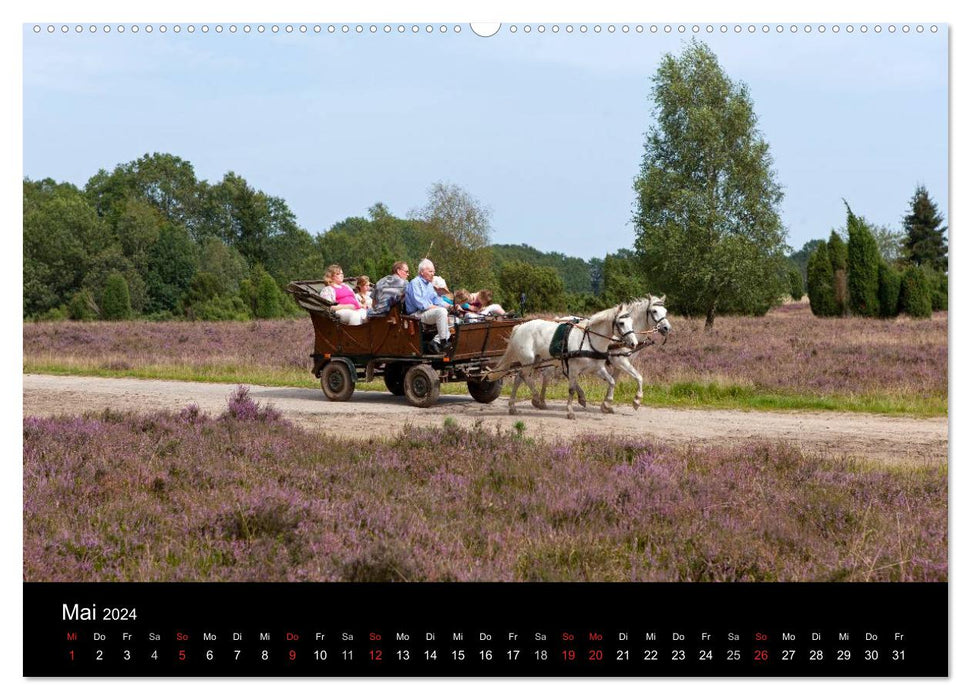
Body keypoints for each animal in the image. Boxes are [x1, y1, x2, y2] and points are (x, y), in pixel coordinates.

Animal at [486, 304, 636, 418]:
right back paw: (536, 399)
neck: (589, 341)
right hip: (528, 360)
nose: (633, 343)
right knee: (524, 377)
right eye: (621, 323)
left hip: (535, 360)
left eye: (632, 322)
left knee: (519, 378)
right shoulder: (574, 368)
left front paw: (607, 404)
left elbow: (612, 381)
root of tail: (520, 327)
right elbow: (571, 389)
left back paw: (513, 406)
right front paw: (570, 411)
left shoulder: (597, 369)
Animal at [528, 294, 672, 410]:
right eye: (654, 311)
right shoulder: (620, 361)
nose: (667, 328)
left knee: (564, 374)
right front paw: (636, 400)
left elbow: (613, 380)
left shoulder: (619, 364)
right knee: (547, 374)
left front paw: (606, 404)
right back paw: (540, 401)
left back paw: (579, 397)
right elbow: (639, 377)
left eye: (665, 311)